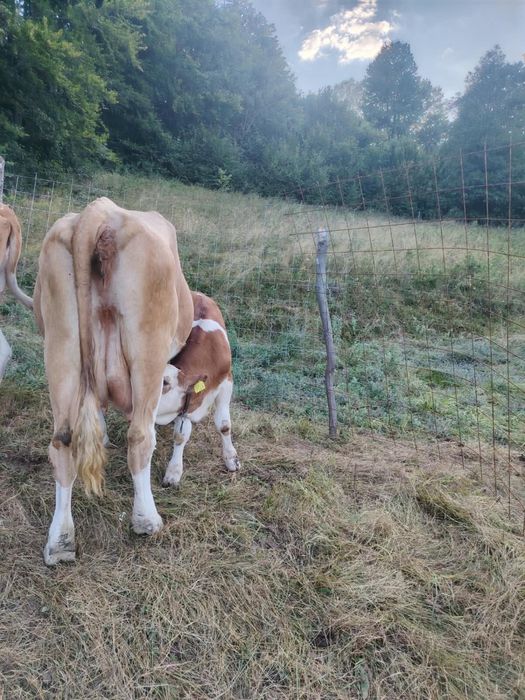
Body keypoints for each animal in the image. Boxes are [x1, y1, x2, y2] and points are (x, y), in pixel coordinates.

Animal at [33, 197, 193, 565]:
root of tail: (99, 212)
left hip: (61, 343)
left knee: (62, 441)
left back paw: (60, 541)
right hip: (147, 348)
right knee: (140, 436)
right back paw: (146, 520)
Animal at [156, 291, 241, 486]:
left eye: (165, 382)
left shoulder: (227, 382)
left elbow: (224, 425)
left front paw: (231, 458)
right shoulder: (187, 400)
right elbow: (181, 435)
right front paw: (174, 471)